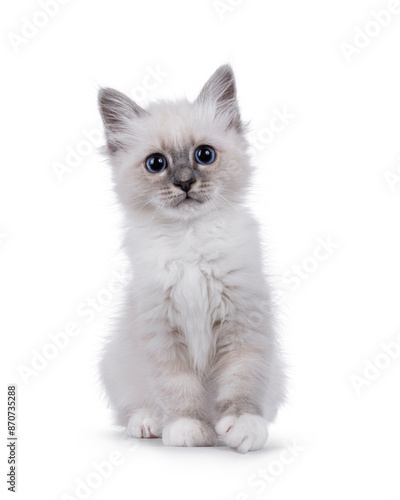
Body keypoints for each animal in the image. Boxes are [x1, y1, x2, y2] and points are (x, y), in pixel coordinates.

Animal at [97, 64, 284, 452]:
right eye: (156, 164)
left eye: (204, 155)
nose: (184, 183)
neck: (190, 241)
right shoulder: (161, 330)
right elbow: (178, 389)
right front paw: (189, 430)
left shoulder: (243, 322)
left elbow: (242, 383)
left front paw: (242, 428)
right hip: (118, 366)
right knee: (134, 407)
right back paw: (149, 423)